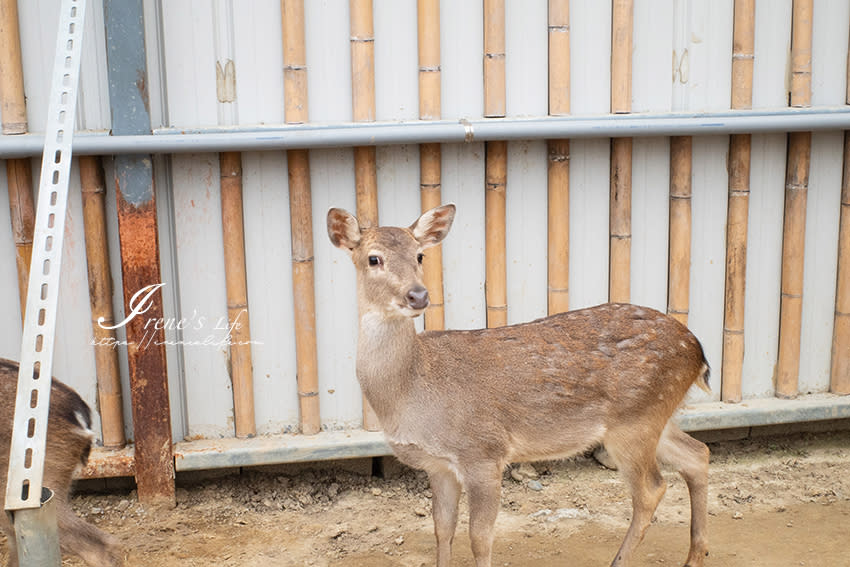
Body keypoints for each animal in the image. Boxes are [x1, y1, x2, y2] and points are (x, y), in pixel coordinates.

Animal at [328, 205, 712, 567]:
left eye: (420, 254)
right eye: (373, 258)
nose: (418, 296)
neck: (413, 391)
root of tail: (697, 351)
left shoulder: (484, 451)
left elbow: (479, 538)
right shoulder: (438, 465)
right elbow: (442, 529)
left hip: (634, 420)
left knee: (651, 489)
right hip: (656, 415)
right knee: (697, 454)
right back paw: (694, 556)